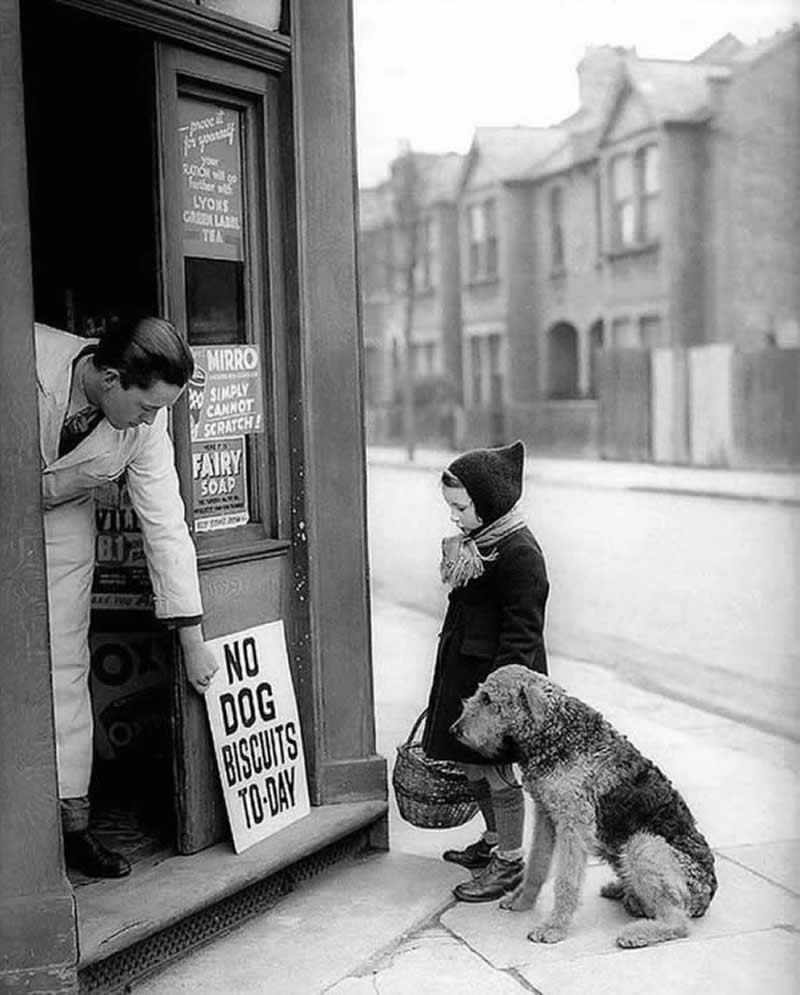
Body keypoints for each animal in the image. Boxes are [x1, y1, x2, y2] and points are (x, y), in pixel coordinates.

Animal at [450, 664, 720, 944]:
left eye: (488, 699)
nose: (454, 731)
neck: (556, 730)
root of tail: (708, 894)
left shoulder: (573, 824)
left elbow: (566, 881)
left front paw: (554, 928)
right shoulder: (546, 814)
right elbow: (536, 864)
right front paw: (522, 900)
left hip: (644, 845)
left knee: (678, 922)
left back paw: (637, 932)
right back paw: (621, 890)